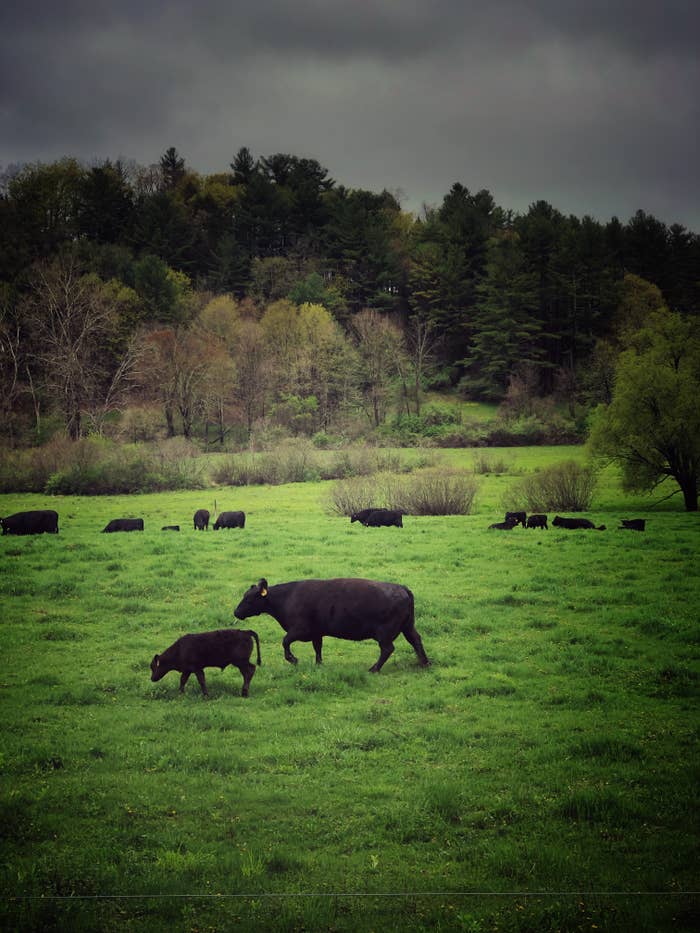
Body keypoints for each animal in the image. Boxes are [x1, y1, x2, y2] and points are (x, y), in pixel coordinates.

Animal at [234, 577, 430, 673]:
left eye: (249, 598)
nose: (236, 612)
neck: (287, 597)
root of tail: (401, 588)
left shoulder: (299, 629)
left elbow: (285, 642)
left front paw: (293, 659)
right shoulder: (316, 632)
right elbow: (317, 648)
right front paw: (319, 664)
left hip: (385, 633)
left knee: (388, 649)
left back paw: (374, 669)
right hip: (408, 627)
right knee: (416, 640)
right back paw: (425, 663)